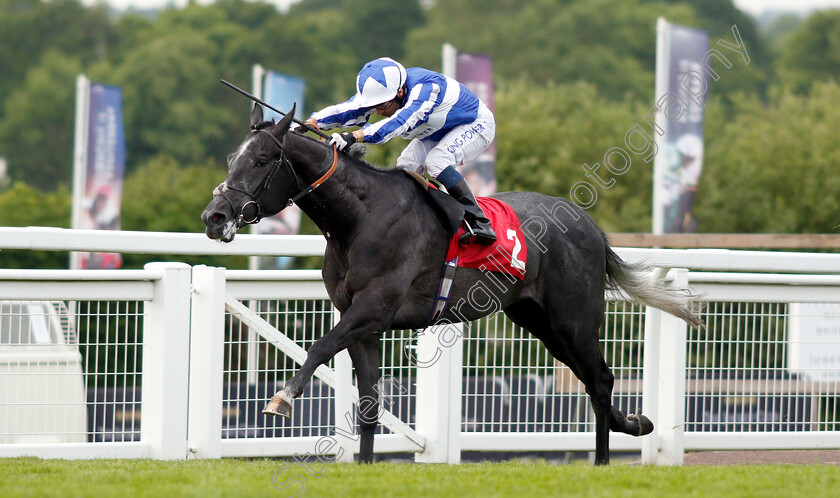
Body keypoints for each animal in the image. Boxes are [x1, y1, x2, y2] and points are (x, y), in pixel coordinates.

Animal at [202, 103, 704, 464]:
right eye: (230, 159)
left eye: (262, 159)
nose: (215, 216)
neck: (361, 217)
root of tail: (590, 225)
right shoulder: (360, 321)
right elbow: (369, 403)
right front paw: (363, 467)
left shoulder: (374, 308)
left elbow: (321, 346)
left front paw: (282, 398)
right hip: (538, 321)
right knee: (591, 381)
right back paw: (633, 425)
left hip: (574, 319)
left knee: (599, 379)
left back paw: (604, 459)